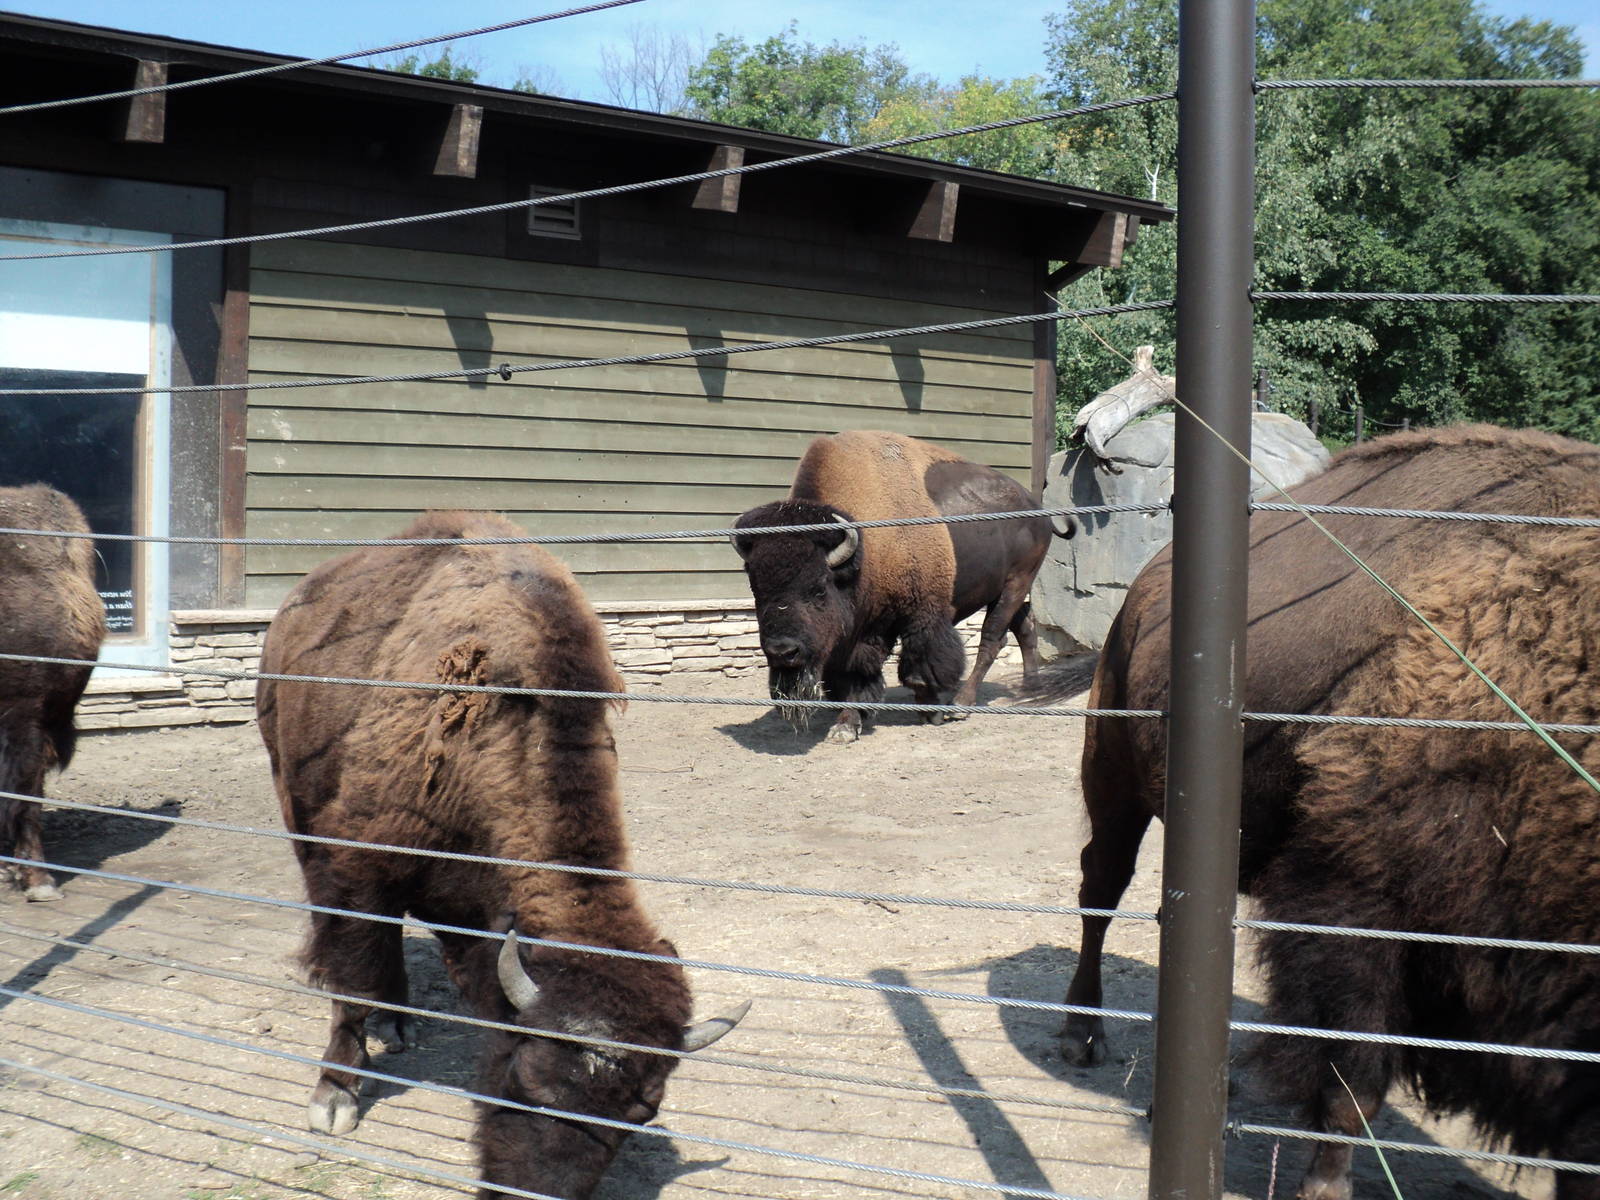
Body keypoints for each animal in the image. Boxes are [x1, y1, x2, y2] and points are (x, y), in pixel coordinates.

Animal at [257, 512, 746, 1200]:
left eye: (641, 1111)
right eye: (526, 1080)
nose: (535, 1194)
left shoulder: (470, 903)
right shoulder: (358, 868)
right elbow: (353, 979)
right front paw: (335, 1097)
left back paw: (399, 1022)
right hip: (295, 804)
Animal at [732, 430, 1065, 743]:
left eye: (818, 589)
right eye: (756, 590)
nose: (783, 651)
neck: (865, 549)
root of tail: (1035, 507)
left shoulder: (919, 615)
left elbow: (916, 668)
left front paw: (929, 711)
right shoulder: (852, 634)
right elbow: (849, 677)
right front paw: (846, 725)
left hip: (1015, 584)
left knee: (992, 639)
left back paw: (962, 704)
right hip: (1009, 591)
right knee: (1025, 629)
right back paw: (1031, 689)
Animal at [1060, 425, 1599, 1199]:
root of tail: (1143, 587)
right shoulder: (1355, 909)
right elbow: (1353, 1079)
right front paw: (1323, 1186)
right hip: (1113, 781)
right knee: (1099, 891)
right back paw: (1083, 1035)